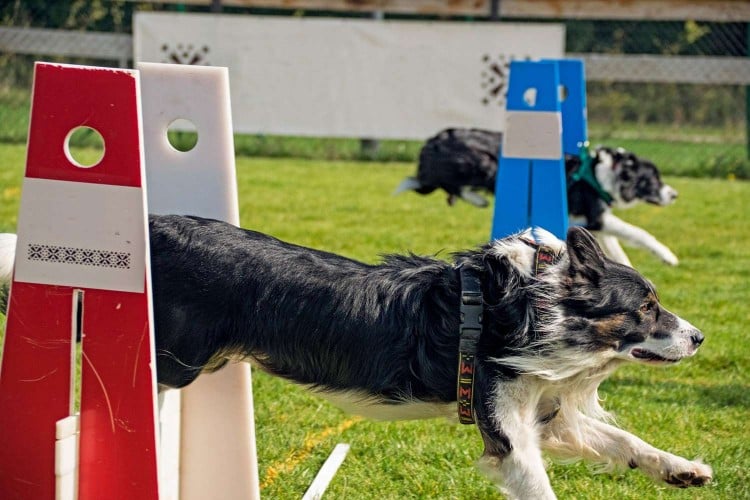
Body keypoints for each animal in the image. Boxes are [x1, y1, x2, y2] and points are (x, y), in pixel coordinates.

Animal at [0, 217, 712, 498]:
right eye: (648, 306)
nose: (700, 337)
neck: (527, 307)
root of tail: (152, 225)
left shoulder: (539, 411)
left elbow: (624, 442)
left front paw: (683, 470)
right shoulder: (508, 432)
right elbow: (540, 484)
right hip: (166, 359)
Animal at [396, 129, 684, 268]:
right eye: (653, 180)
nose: (675, 195)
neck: (604, 175)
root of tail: (433, 140)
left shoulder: (596, 221)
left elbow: (616, 247)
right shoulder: (597, 217)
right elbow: (638, 233)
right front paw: (668, 256)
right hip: (482, 163)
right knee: (446, 184)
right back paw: (477, 199)